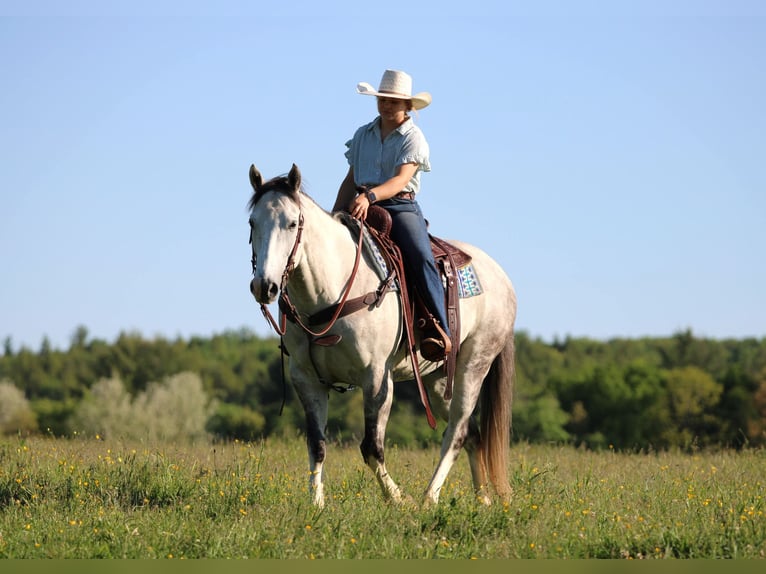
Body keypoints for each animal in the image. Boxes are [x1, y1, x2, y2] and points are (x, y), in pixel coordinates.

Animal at [247, 163, 517, 507]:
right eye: (253, 222)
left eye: (292, 223)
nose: (264, 286)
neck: (329, 291)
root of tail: (502, 277)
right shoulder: (307, 379)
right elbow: (316, 445)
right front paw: (316, 505)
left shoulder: (377, 378)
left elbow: (371, 448)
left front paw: (399, 500)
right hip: (439, 378)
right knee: (472, 433)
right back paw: (482, 500)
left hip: (474, 366)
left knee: (456, 431)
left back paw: (429, 498)